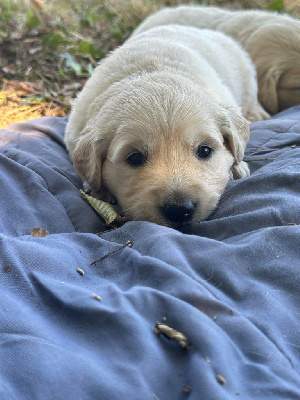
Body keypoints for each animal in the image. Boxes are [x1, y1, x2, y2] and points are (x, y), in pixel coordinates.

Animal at [65, 26, 264, 228]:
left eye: (205, 150)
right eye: (135, 158)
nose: (180, 210)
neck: (152, 72)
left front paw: (237, 168)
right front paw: (98, 190)